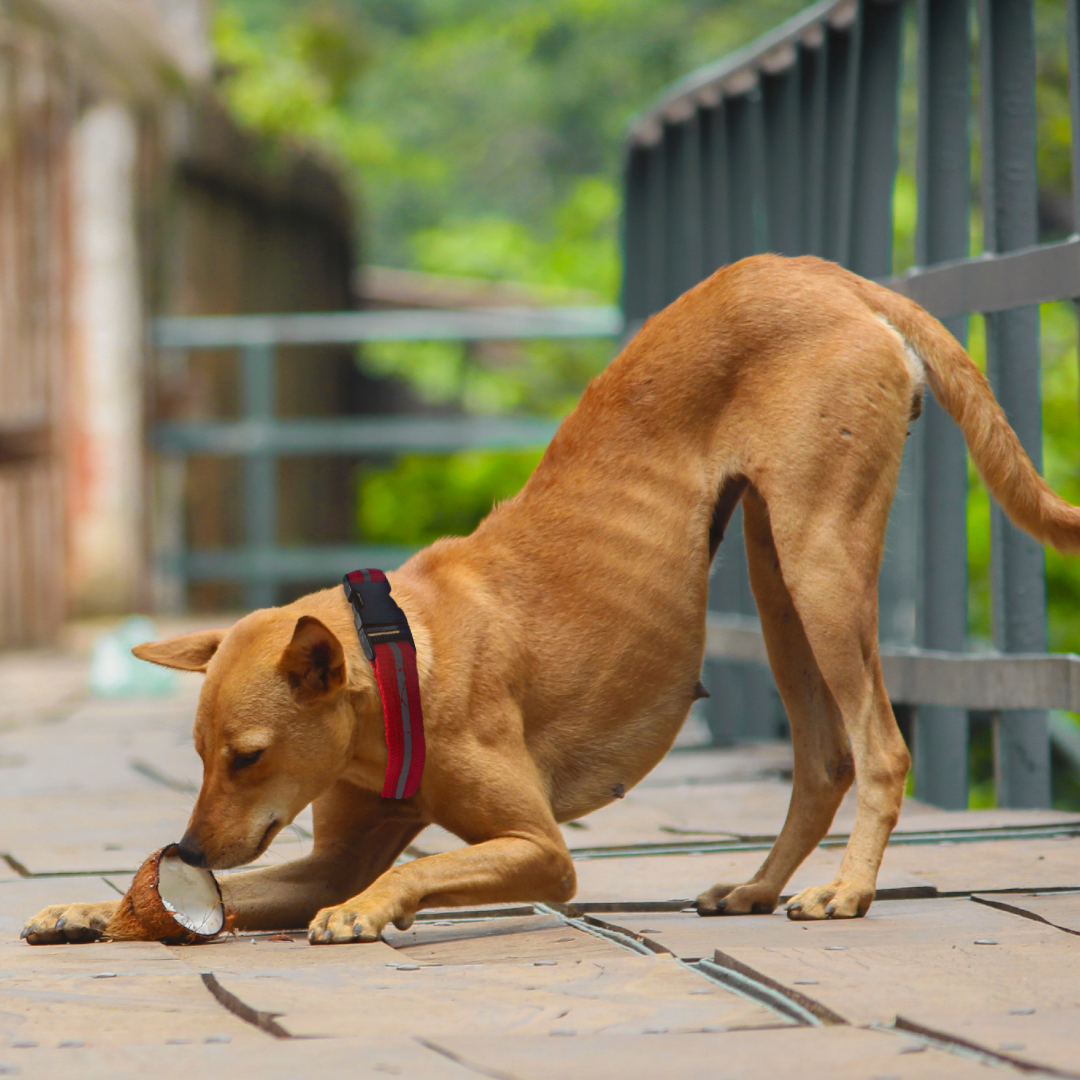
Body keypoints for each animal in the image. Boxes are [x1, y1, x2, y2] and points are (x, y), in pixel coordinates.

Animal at [23, 254, 1080, 946]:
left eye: (246, 757)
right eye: (198, 756)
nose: (186, 847)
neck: (400, 655)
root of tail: (828, 274)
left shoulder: (541, 847)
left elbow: (419, 865)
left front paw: (365, 911)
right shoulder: (331, 851)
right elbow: (287, 884)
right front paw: (96, 906)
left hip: (822, 563)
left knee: (882, 748)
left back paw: (849, 892)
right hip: (777, 579)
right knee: (823, 760)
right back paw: (759, 887)